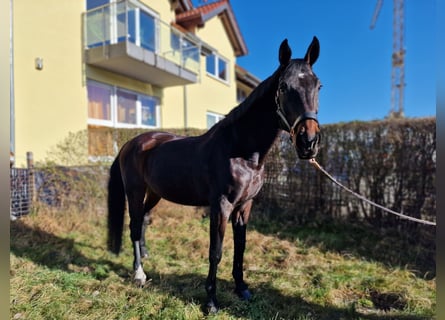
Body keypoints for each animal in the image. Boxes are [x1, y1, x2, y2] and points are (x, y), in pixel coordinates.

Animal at [107, 37, 322, 312]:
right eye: (284, 87)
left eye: (318, 86)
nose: (309, 142)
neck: (241, 151)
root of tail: (130, 143)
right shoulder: (221, 206)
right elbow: (216, 251)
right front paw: (211, 301)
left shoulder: (245, 206)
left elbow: (240, 248)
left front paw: (242, 289)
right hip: (134, 191)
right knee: (134, 225)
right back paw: (139, 274)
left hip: (154, 192)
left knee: (143, 220)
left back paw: (145, 255)